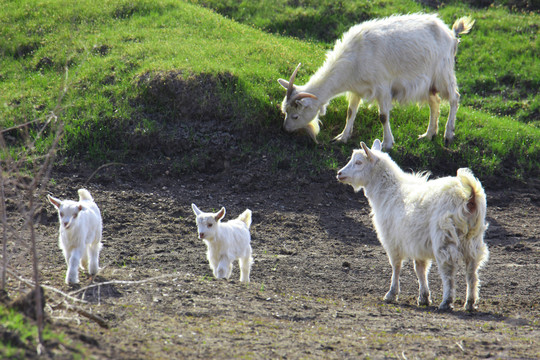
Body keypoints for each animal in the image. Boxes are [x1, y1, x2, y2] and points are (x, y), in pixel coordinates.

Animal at [280, 13, 474, 149]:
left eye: (296, 115)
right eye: (285, 111)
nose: (285, 129)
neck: (355, 58)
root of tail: (452, 34)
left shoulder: (382, 87)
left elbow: (383, 116)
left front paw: (387, 143)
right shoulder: (356, 89)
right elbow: (350, 112)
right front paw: (342, 137)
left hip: (443, 73)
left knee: (454, 98)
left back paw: (448, 135)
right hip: (428, 84)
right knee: (435, 102)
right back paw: (428, 134)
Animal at [336, 139, 488, 310]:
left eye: (359, 162)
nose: (339, 173)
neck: (390, 190)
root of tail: (469, 197)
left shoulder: (392, 240)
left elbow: (396, 265)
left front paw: (392, 293)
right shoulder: (417, 241)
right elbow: (420, 268)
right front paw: (423, 297)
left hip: (444, 236)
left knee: (448, 270)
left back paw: (447, 301)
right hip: (472, 239)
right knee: (472, 271)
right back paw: (470, 302)